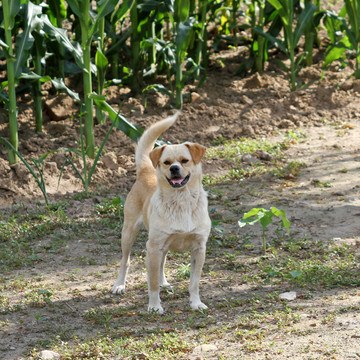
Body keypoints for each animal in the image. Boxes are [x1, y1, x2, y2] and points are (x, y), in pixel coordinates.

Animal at [110, 111, 211, 314]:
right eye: (166, 162)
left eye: (184, 160)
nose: (174, 168)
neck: (181, 201)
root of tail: (145, 170)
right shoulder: (153, 247)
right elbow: (152, 282)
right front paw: (155, 306)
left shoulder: (199, 248)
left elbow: (194, 282)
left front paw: (196, 303)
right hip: (129, 233)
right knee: (125, 261)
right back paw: (119, 285)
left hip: (162, 243)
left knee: (162, 263)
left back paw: (165, 282)